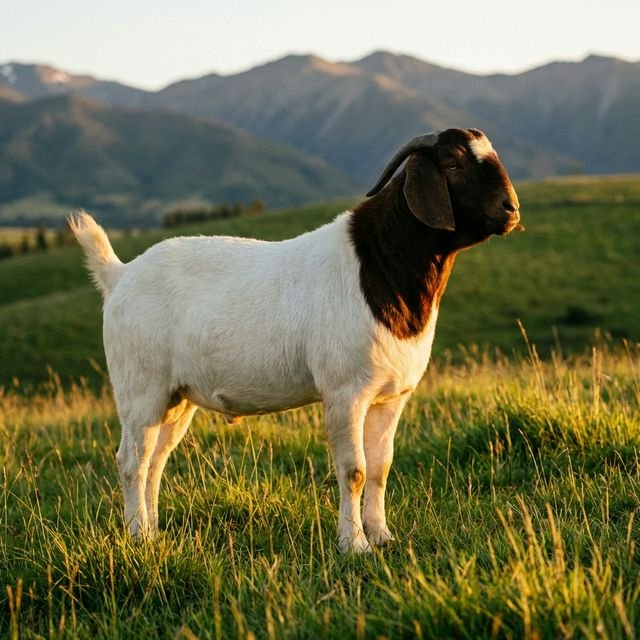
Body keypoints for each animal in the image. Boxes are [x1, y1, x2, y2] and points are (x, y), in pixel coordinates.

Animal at [69, 128, 521, 552]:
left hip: (176, 397)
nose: (512, 209)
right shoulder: (345, 392)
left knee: (156, 460)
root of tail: (119, 275)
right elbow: (354, 471)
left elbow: (380, 468)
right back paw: (137, 537)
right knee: (132, 461)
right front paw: (353, 545)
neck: (377, 268)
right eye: (452, 163)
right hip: (140, 386)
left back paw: (153, 533)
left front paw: (382, 536)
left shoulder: (391, 397)